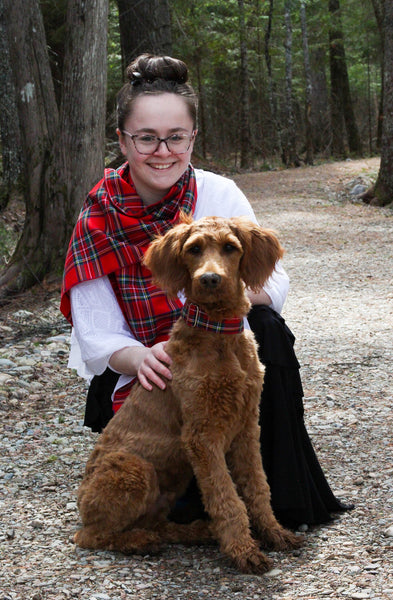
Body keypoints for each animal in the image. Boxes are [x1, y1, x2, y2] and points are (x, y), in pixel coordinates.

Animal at [73, 214, 300, 572]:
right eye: (193, 249)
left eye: (230, 248)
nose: (209, 279)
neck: (218, 334)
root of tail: (83, 502)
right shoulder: (202, 436)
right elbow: (226, 497)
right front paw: (243, 551)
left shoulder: (247, 428)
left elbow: (257, 487)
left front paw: (274, 532)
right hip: (135, 470)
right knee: (90, 536)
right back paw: (140, 542)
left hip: (169, 483)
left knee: (156, 523)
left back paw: (195, 531)